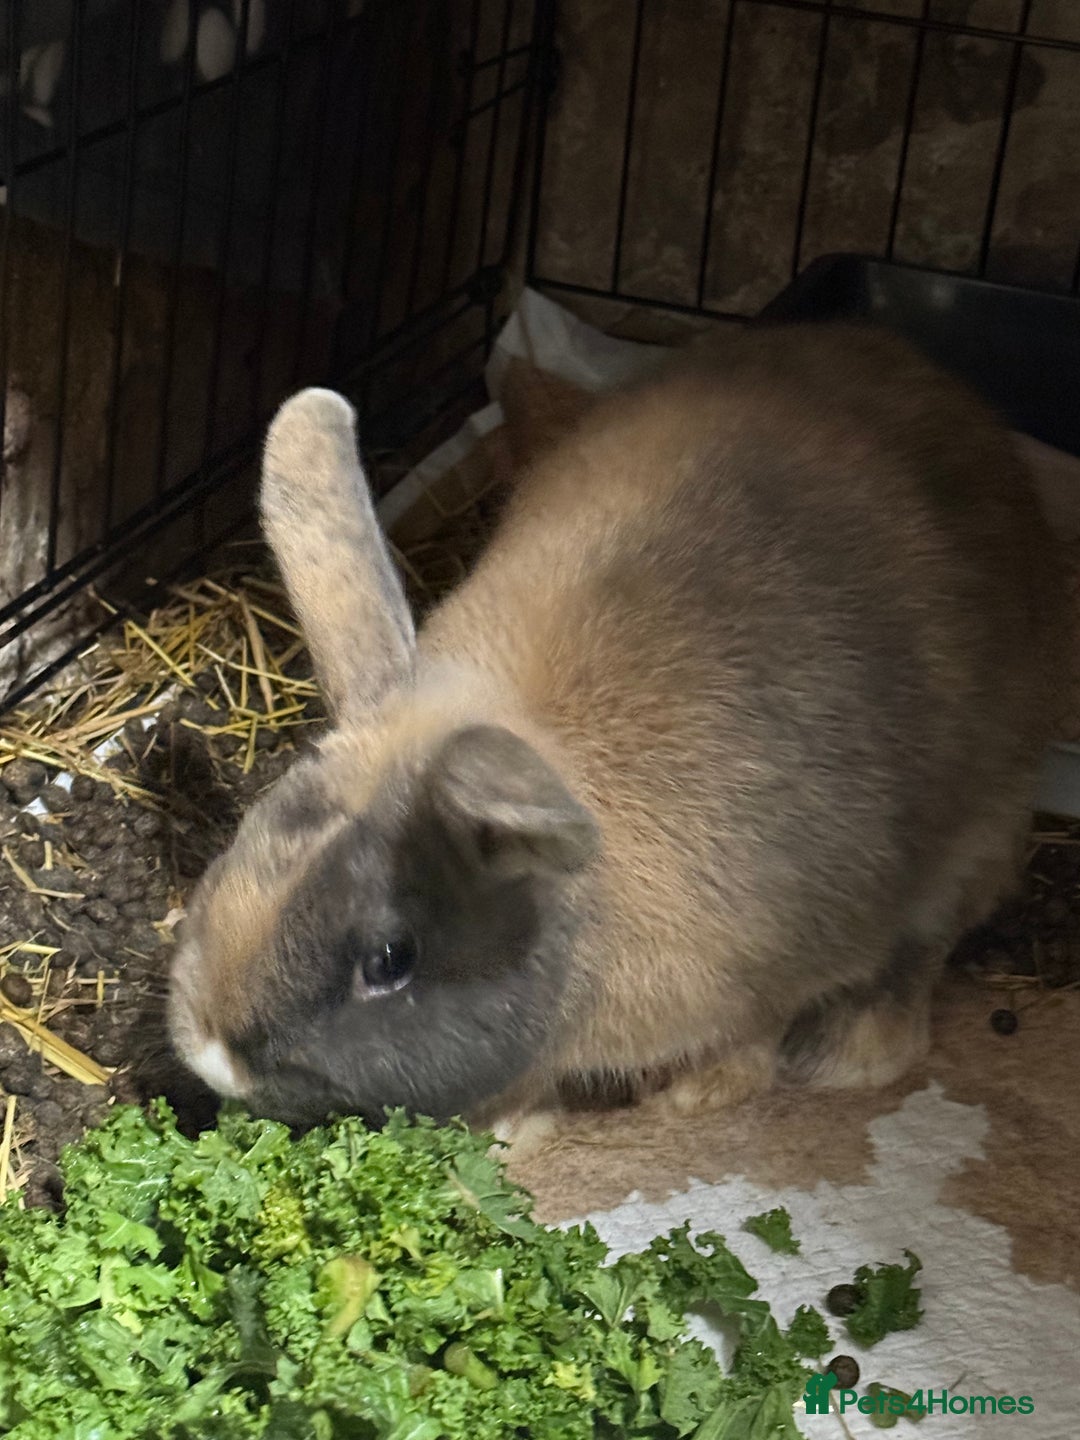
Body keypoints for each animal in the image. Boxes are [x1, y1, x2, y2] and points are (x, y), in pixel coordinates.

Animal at [167, 321, 1063, 1143]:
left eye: (390, 959)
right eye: (242, 840)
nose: (214, 1056)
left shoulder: (780, 966)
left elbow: (750, 1042)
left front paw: (690, 1098)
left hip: (982, 823)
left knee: (929, 939)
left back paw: (854, 1053)